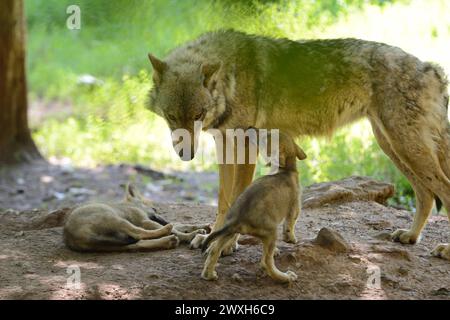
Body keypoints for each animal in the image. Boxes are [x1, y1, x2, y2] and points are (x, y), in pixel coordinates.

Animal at [148, 29, 450, 260]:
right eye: (172, 117)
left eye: (197, 115)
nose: (186, 154)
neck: (230, 79)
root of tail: (432, 69)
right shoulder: (225, 142)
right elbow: (223, 200)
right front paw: (211, 236)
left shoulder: (244, 144)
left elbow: (235, 198)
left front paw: (225, 244)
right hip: (393, 147)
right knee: (426, 195)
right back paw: (411, 236)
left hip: (405, 147)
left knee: (442, 189)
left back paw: (444, 248)